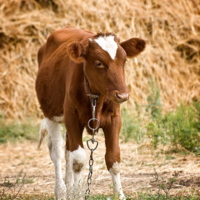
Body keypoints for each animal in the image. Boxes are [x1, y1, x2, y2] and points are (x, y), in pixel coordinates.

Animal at [35, 25, 145, 199]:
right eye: (98, 63)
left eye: (124, 61)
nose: (122, 95)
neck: (95, 99)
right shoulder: (72, 117)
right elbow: (78, 161)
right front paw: (77, 194)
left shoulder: (115, 119)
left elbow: (113, 158)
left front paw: (119, 195)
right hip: (50, 113)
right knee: (57, 151)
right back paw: (61, 191)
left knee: (67, 151)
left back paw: (70, 188)